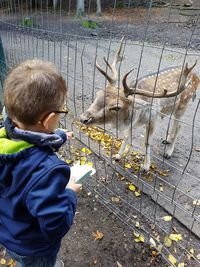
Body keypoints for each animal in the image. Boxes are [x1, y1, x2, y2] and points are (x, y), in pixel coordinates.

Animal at [79, 38, 198, 172]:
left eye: (116, 107)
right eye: (98, 93)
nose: (83, 118)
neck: (138, 115)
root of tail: (195, 76)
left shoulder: (153, 118)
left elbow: (147, 142)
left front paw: (145, 166)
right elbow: (126, 135)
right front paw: (118, 156)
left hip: (183, 105)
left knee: (179, 126)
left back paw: (168, 152)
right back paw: (167, 140)